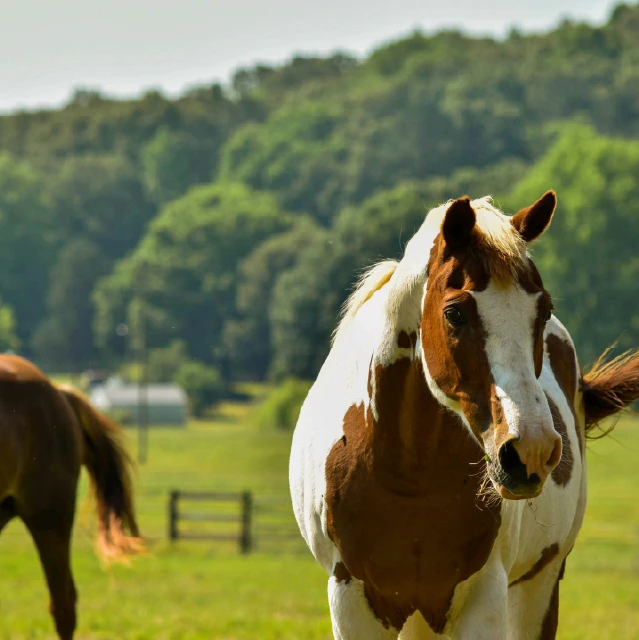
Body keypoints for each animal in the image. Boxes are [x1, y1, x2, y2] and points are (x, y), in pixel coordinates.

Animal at [289, 191, 639, 639]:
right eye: (455, 313)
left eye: (543, 311)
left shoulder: (484, 596)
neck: (408, 475)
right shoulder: (351, 597)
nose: (531, 450)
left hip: (538, 586)